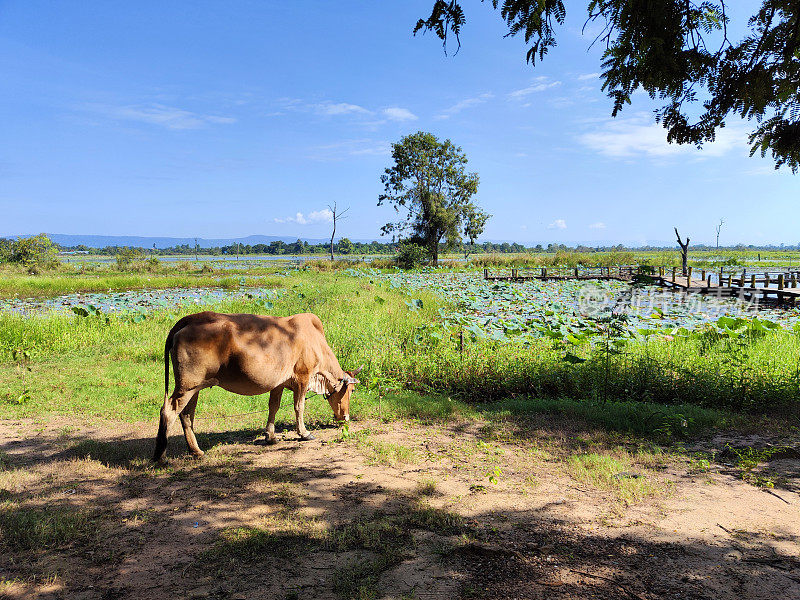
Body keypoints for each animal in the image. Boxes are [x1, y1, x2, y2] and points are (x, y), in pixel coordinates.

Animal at [153, 312, 360, 462]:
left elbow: (273, 407)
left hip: (194, 388)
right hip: (188, 386)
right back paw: (161, 456)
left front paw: (270, 436)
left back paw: (195, 450)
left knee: (187, 415)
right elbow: (299, 407)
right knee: (169, 410)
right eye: (351, 391)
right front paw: (304, 433)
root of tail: (187, 320)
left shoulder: (279, 383)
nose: (345, 418)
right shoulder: (303, 376)